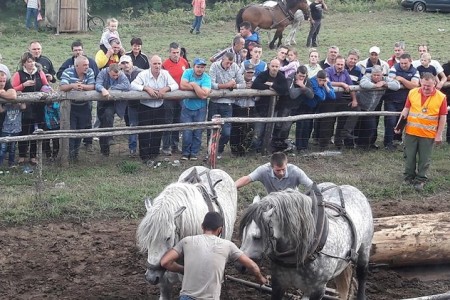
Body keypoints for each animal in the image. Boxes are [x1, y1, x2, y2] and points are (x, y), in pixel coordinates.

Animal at [239, 184, 372, 298]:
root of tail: (352, 188)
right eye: (244, 232)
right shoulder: (278, 283)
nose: (239, 265)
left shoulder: (318, 290)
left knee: (362, 273)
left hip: (365, 247)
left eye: (257, 237)